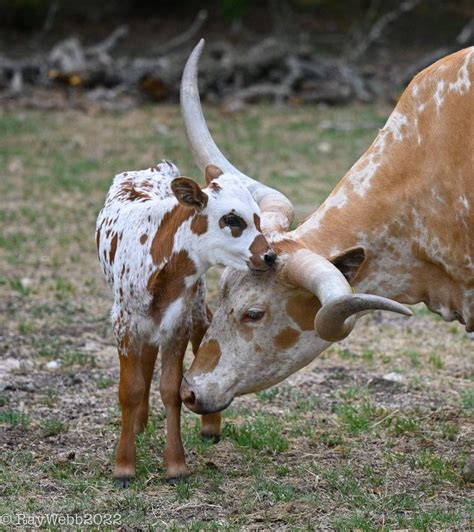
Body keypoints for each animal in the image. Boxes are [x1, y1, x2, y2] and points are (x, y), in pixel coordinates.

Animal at [95, 137, 288, 482]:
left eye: (257, 219)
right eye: (232, 219)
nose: (269, 256)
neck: (157, 255)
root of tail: (153, 168)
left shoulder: (177, 322)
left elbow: (171, 388)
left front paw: (176, 465)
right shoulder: (124, 324)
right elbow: (129, 389)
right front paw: (124, 466)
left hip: (195, 299)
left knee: (203, 325)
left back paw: (209, 427)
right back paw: (139, 422)